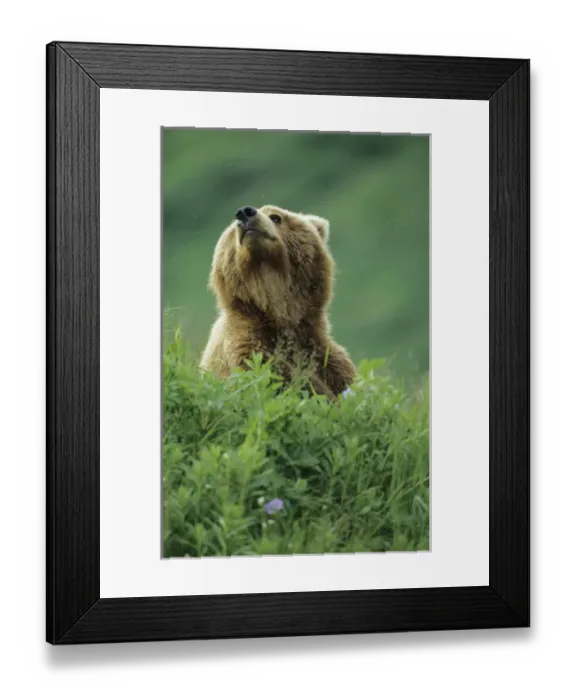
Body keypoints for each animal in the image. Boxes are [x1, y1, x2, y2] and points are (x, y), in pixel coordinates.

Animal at [199, 204, 356, 400]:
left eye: (276, 217)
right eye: (231, 231)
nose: (245, 212)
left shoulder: (321, 353)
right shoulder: (248, 348)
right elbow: (276, 381)